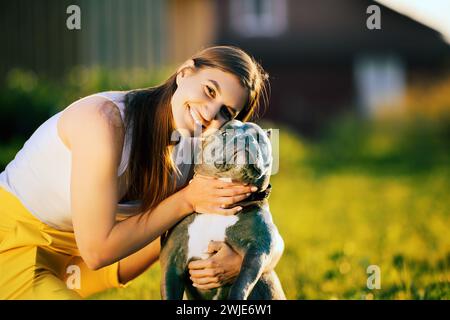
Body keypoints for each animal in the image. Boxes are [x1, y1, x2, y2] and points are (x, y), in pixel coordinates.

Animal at [159, 120, 284, 300]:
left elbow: (242, 282)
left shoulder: (257, 251)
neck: (219, 210)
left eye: (258, 137)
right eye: (225, 133)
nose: (245, 138)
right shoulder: (171, 259)